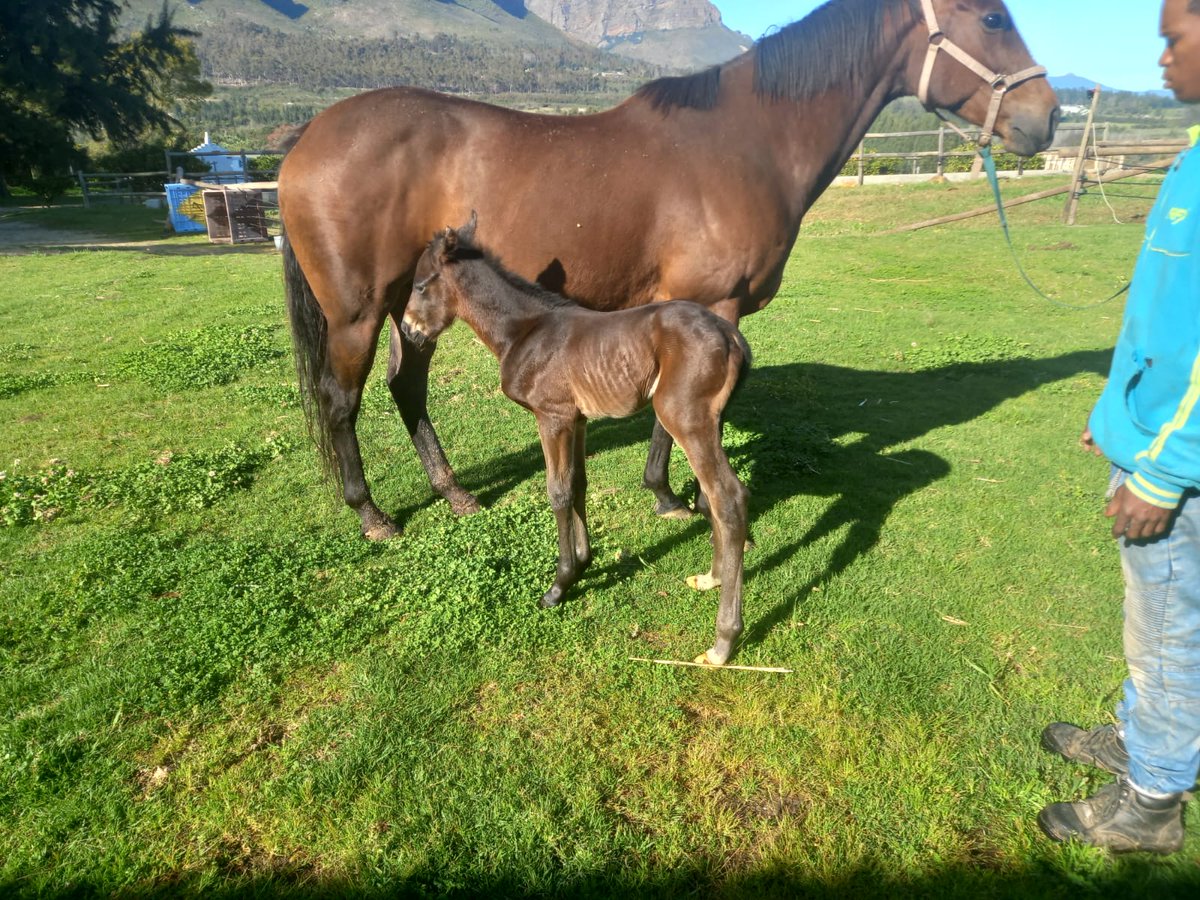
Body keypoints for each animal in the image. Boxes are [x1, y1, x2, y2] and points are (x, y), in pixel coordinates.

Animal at [278, 0, 1059, 539]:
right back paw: (372, 514)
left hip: (418, 306)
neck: (746, 142)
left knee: (405, 388)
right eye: (993, 17)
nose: (1047, 117)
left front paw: (661, 491)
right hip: (359, 311)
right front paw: (667, 495)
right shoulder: (711, 303)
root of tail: (307, 136)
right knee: (342, 401)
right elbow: (681, 413)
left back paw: (455, 494)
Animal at [402, 215, 752, 666]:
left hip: (685, 419)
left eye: (420, 285)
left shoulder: (552, 418)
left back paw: (723, 642)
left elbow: (558, 491)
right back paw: (710, 578)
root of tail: (730, 335)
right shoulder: (578, 421)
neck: (523, 332)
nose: (409, 331)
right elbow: (579, 485)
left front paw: (559, 585)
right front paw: (584, 562)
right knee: (714, 497)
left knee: (728, 499)